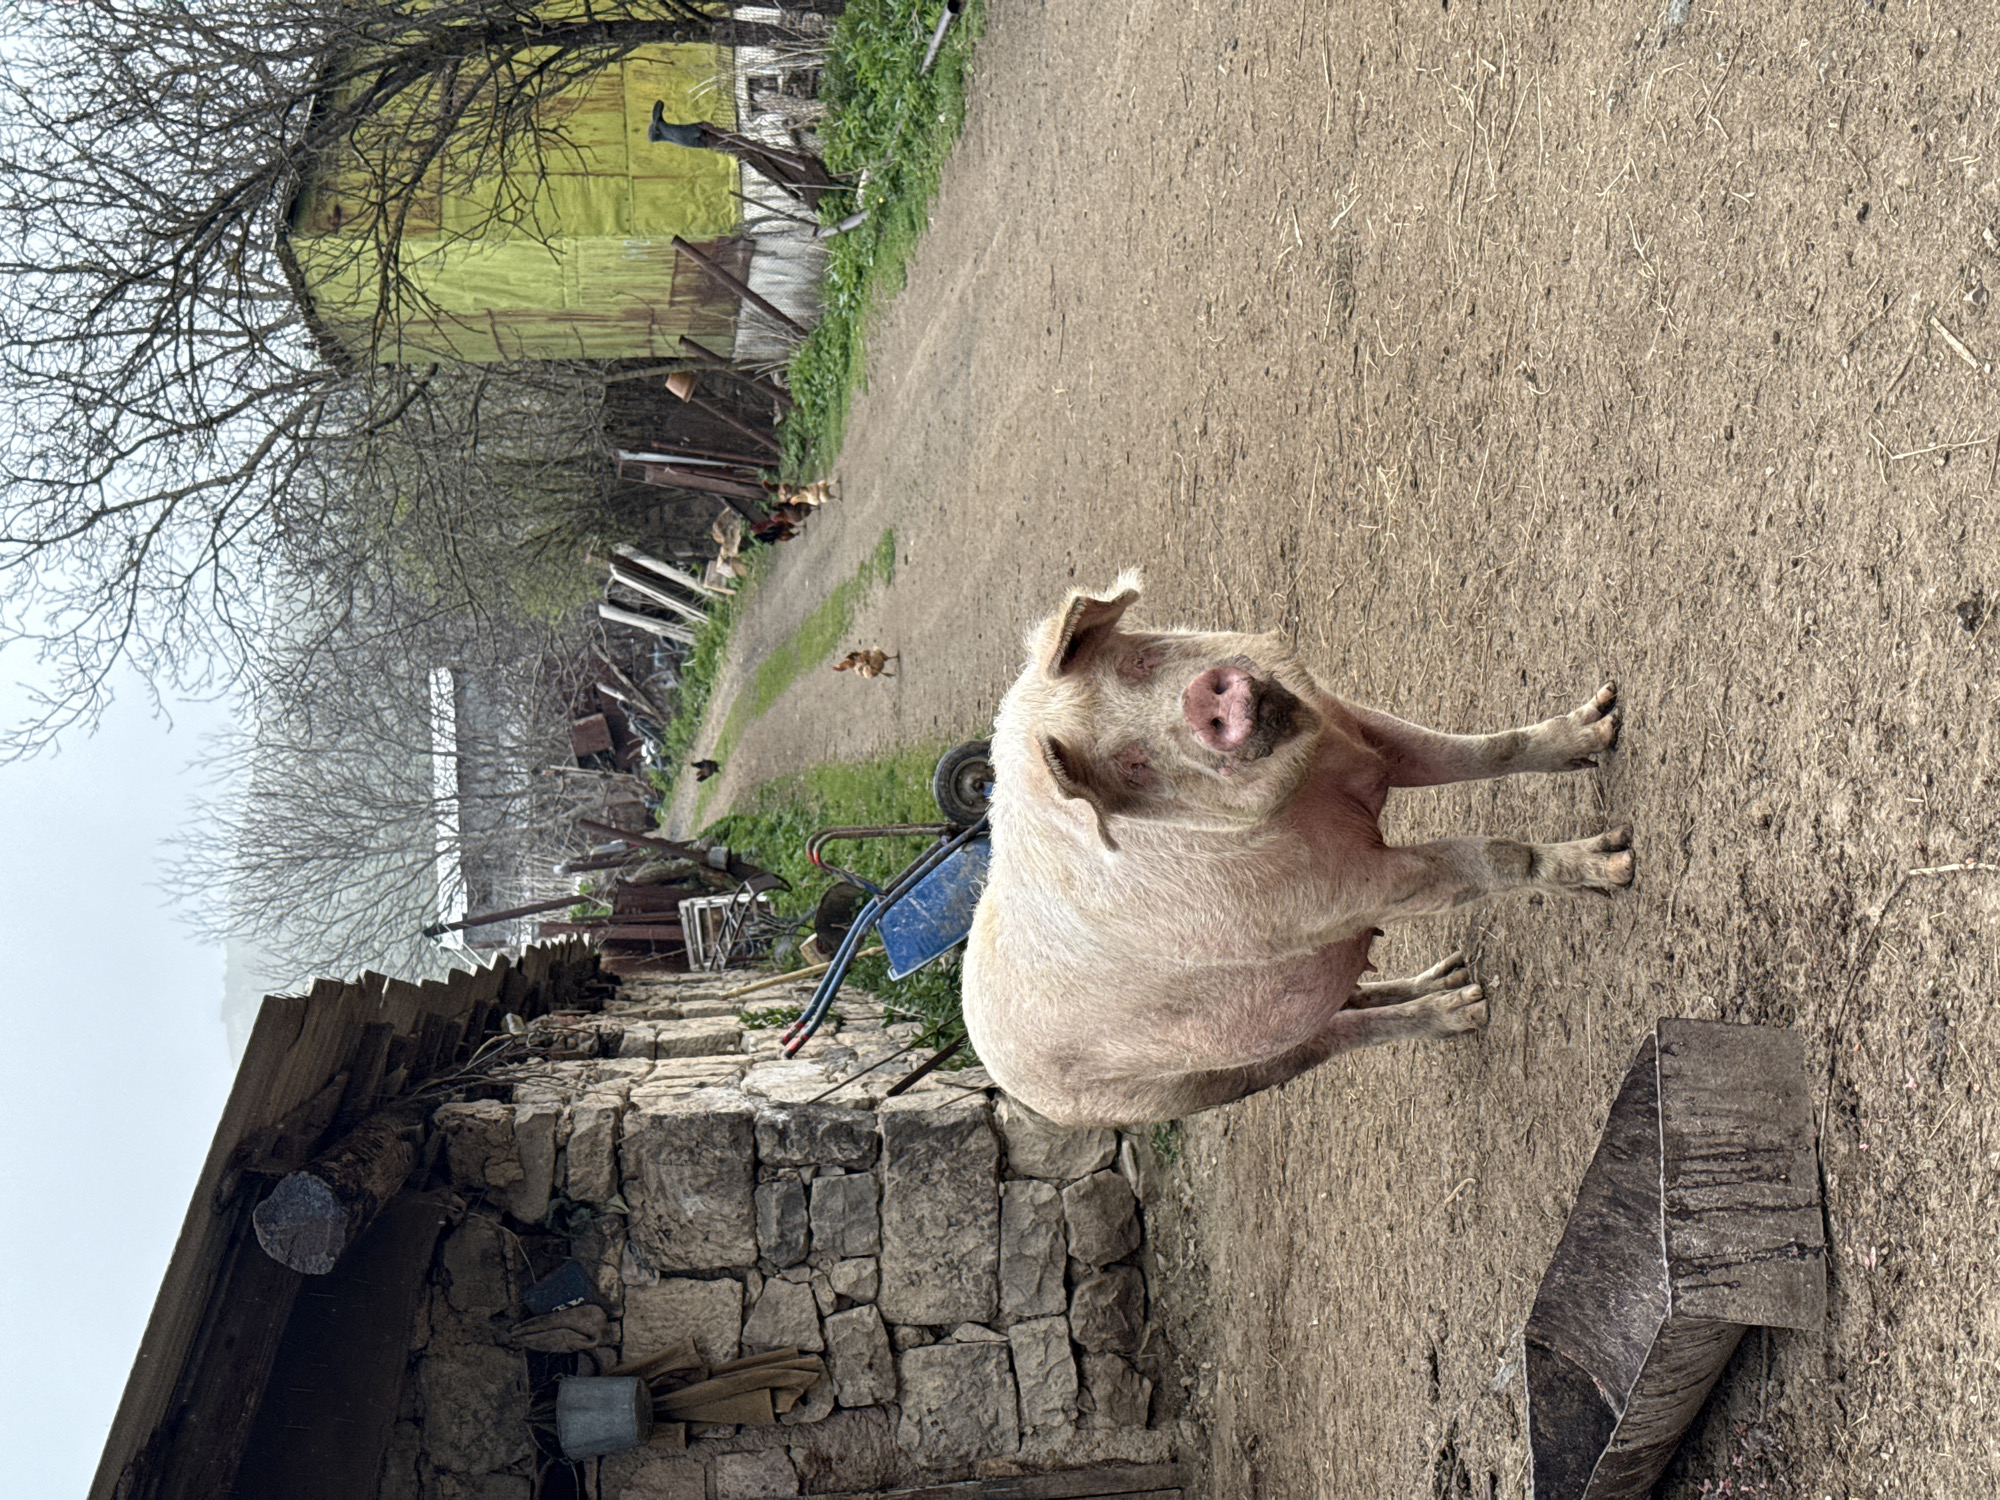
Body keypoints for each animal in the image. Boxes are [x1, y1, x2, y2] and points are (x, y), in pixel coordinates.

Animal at [961, 572, 1634, 1127]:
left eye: (1139, 661)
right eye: (1131, 762)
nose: (1205, 699)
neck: (1310, 786)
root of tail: (1002, 1076)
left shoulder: (1358, 731)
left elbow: (1483, 751)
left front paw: (1604, 722)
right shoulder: (1329, 897)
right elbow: (1489, 858)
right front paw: (1618, 864)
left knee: (1349, 996)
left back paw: (1457, 976)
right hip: (1189, 1087)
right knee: (1331, 1040)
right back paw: (1468, 1009)